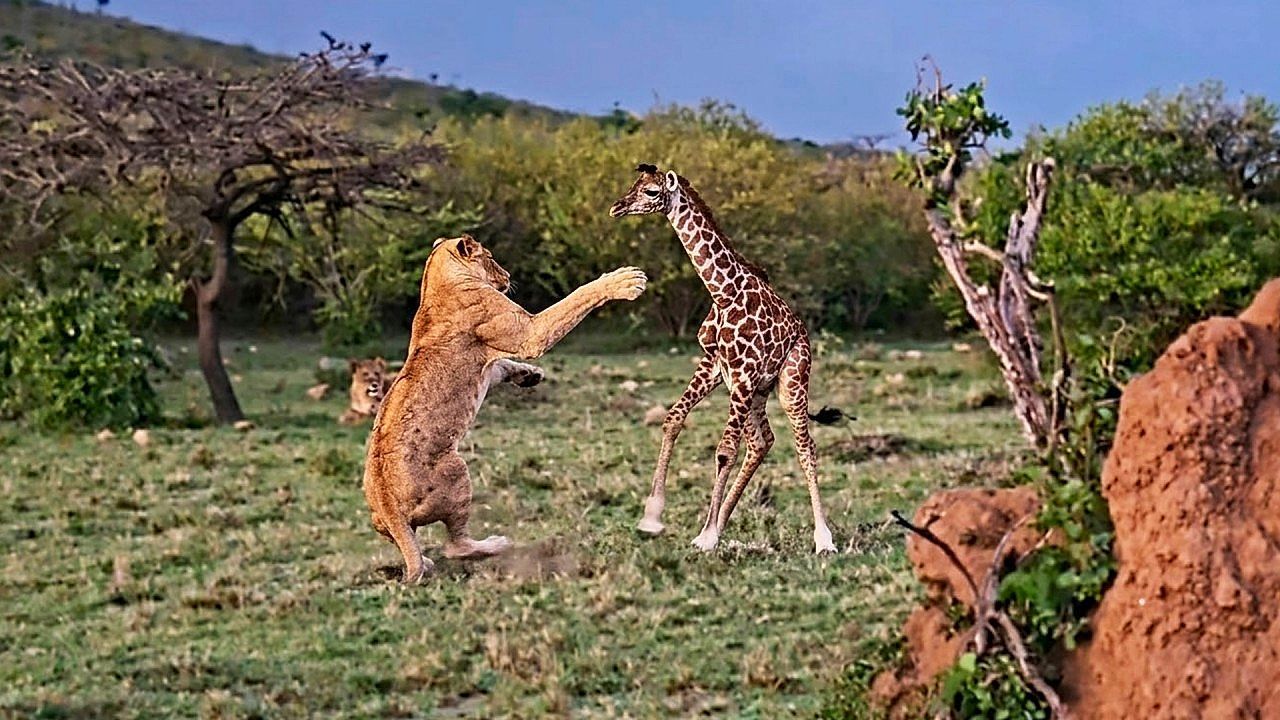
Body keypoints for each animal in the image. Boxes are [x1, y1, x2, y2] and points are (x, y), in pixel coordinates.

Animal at [362, 234, 646, 583]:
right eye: (490, 257)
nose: (509, 275)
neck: (436, 283)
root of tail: (387, 505)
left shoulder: (497, 355)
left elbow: (503, 366)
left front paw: (530, 375)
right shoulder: (528, 332)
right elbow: (574, 299)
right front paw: (624, 280)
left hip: (383, 522)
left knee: (413, 547)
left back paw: (424, 561)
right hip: (457, 471)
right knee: (456, 546)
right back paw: (494, 544)